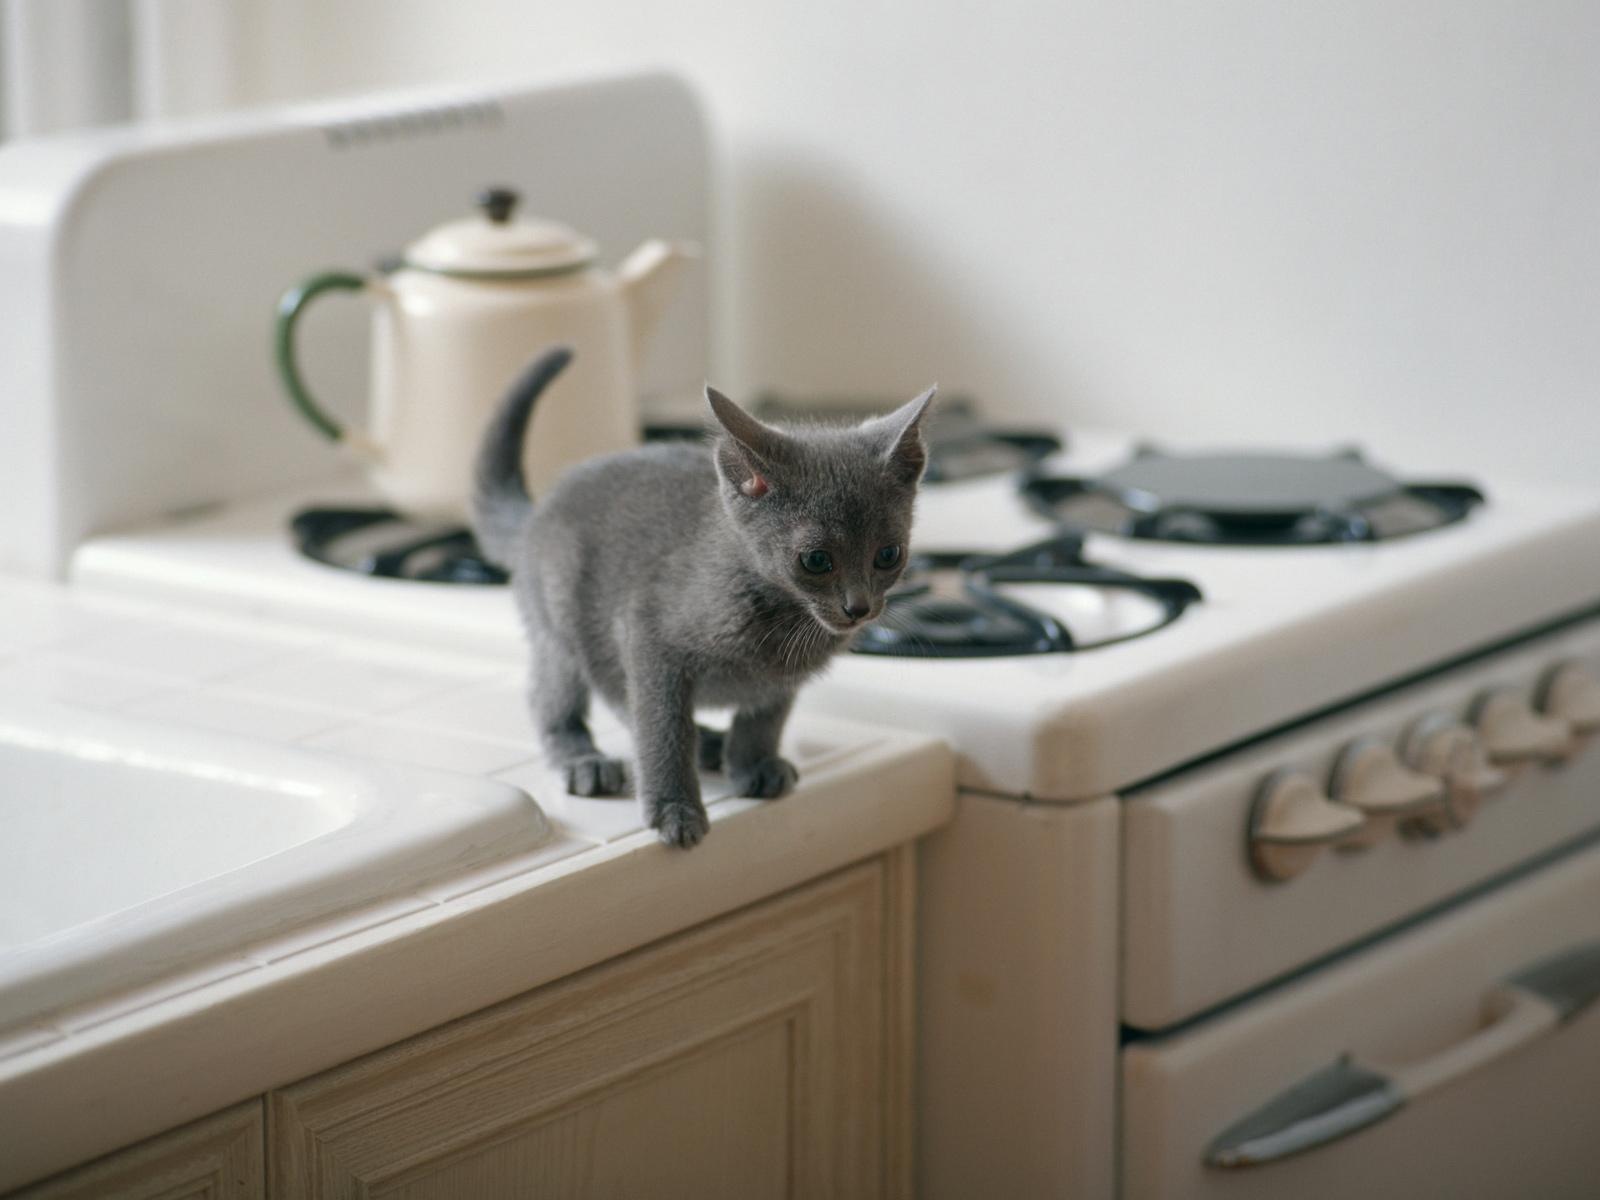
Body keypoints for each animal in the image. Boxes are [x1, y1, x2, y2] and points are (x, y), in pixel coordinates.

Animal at [467, 347, 934, 851]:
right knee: (558, 696)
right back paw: (584, 760)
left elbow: (764, 717)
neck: (779, 617)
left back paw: (710, 744)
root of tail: (537, 512)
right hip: (560, 622)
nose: (858, 607)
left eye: (888, 555)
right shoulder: (647, 635)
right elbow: (662, 727)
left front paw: (753, 763)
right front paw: (674, 808)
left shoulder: (782, 676)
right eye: (815, 560)